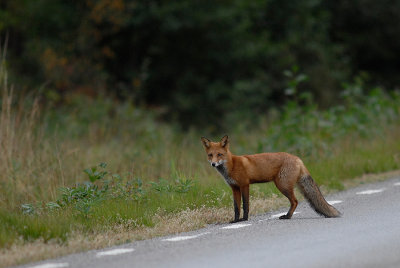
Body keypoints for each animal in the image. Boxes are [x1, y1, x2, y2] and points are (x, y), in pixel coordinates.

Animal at [200, 136, 340, 222]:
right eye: (210, 155)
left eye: (219, 154)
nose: (213, 164)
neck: (232, 165)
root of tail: (297, 158)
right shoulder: (234, 188)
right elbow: (236, 207)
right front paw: (235, 220)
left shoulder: (245, 185)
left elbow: (245, 205)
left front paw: (244, 219)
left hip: (282, 185)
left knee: (295, 201)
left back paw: (287, 216)